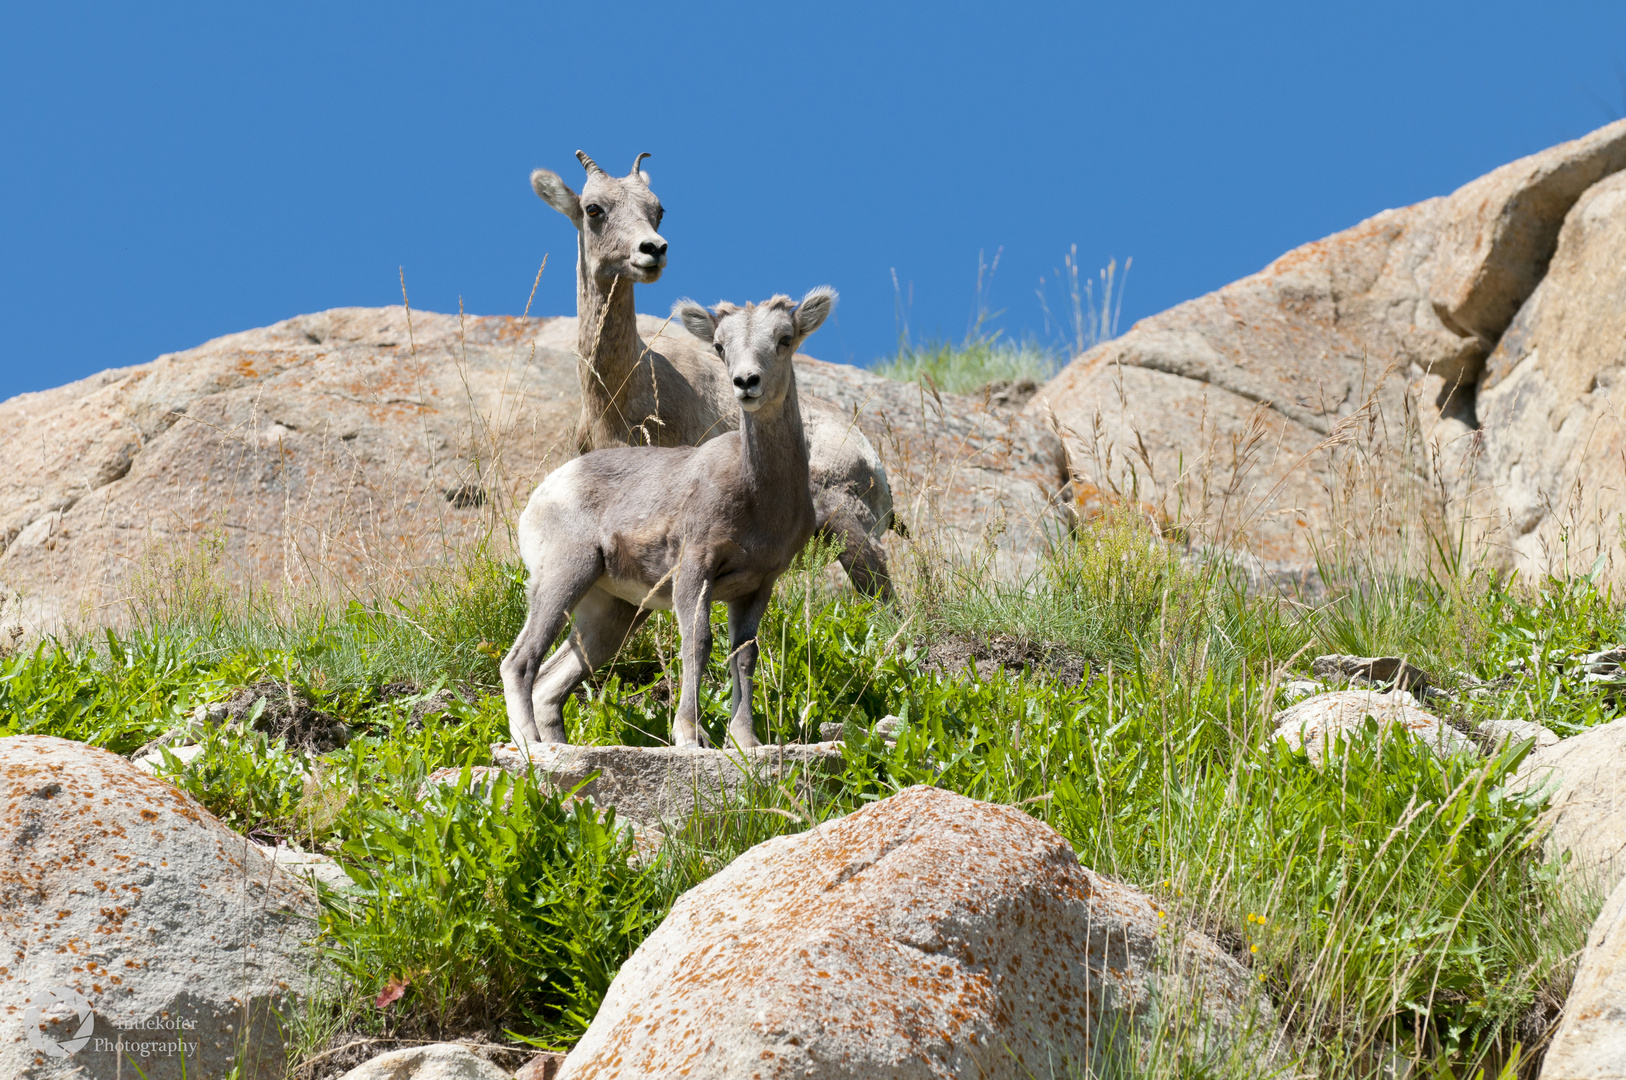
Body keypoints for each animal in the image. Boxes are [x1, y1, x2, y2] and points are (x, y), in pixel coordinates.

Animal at [497, 284, 832, 751]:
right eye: (719, 346)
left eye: (785, 339)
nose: (746, 383)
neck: (758, 494)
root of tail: (542, 494)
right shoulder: (695, 568)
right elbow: (698, 642)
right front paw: (690, 735)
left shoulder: (757, 586)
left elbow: (743, 656)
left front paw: (745, 741)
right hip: (565, 576)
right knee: (520, 662)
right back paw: (532, 746)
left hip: (612, 614)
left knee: (550, 684)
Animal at [526, 148, 897, 595]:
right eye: (592, 208)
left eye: (658, 210)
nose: (653, 249)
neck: (622, 393)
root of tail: (870, 457)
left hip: (847, 523)